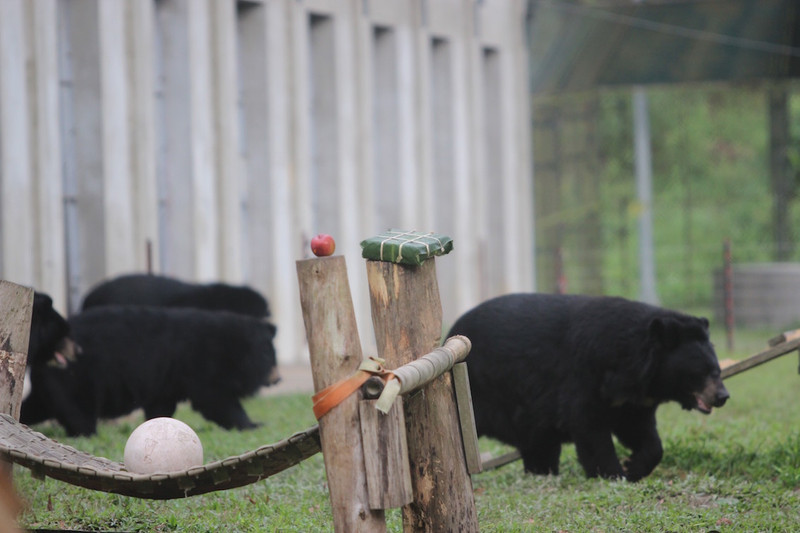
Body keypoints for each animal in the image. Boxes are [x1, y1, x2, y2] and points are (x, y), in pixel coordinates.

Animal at [21, 304, 280, 436]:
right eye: (270, 357)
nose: (278, 378)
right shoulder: (200, 362)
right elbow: (217, 399)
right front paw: (253, 424)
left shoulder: (167, 379)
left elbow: (161, 405)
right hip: (76, 378)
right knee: (79, 411)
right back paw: (87, 432)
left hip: (54, 384)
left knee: (38, 405)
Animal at [450, 294, 732, 480]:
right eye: (701, 372)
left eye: (717, 369)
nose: (722, 396)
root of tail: (452, 330)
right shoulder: (585, 376)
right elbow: (589, 426)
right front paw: (614, 473)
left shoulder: (633, 402)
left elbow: (643, 434)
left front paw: (633, 466)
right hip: (479, 394)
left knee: (539, 445)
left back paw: (541, 473)